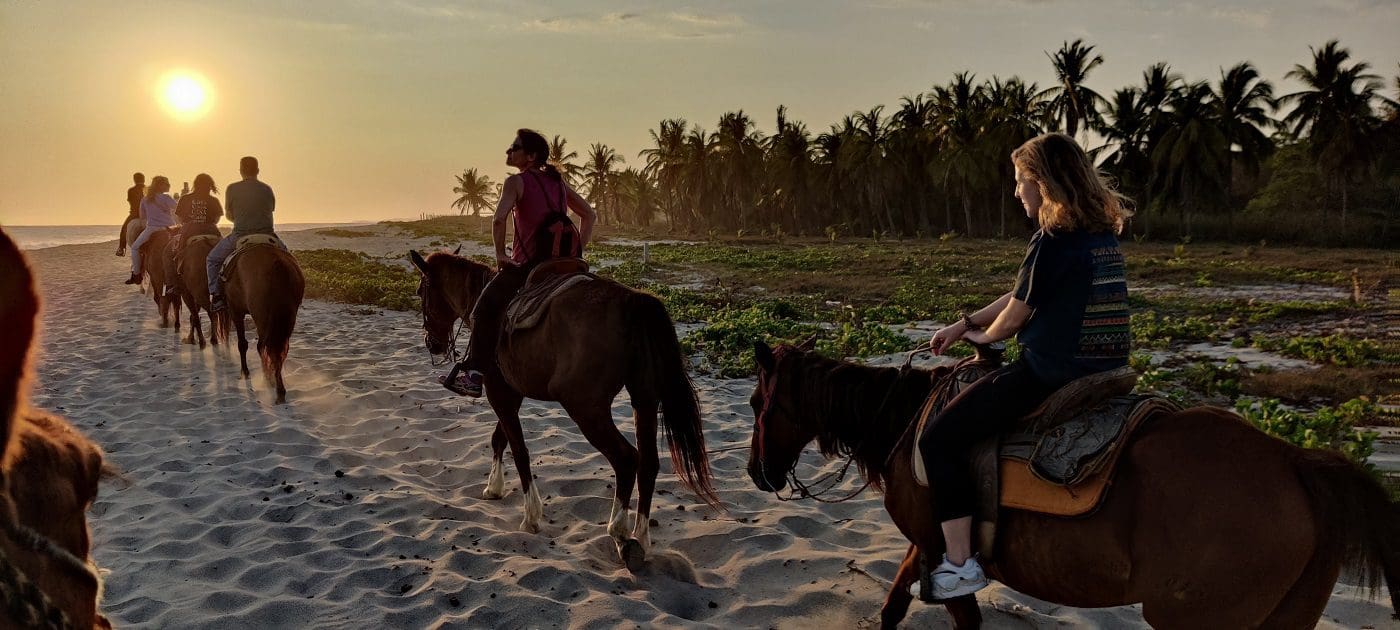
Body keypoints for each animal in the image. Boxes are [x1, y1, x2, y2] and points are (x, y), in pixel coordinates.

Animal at [212, 246, 303, 403]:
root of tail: (277, 266)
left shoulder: (236, 311)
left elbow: (242, 344)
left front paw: (245, 372)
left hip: (261, 319)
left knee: (267, 348)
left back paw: (275, 386)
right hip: (286, 320)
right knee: (277, 350)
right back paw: (274, 381)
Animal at [408, 250, 722, 571]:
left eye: (421, 291)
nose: (432, 344)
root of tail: (632, 300)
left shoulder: (499, 391)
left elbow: (519, 449)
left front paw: (530, 515)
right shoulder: (513, 393)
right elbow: (500, 439)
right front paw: (494, 488)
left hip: (585, 408)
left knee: (626, 459)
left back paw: (619, 533)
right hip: (644, 400)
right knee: (648, 463)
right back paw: (641, 538)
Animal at [750, 341, 1394, 630]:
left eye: (758, 403)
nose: (758, 473)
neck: (906, 424)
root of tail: (1296, 462)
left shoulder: (937, 544)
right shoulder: (928, 543)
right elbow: (892, 606)